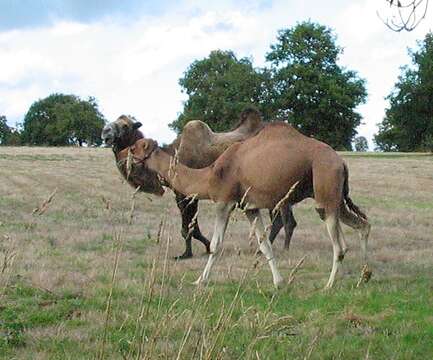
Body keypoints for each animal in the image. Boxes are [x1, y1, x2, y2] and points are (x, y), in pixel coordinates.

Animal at [101, 109, 296, 258]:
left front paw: (194, 252)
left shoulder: (187, 193)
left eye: (125, 125)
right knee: (285, 219)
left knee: (282, 220)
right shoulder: (183, 193)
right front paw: (199, 249)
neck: (171, 155)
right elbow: (190, 227)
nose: (105, 131)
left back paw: (268, 249)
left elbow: (189, 228)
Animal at [123, 122, 370, 288]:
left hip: (325, 185)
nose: (124, 154)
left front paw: (200, 280)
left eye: (135, 147)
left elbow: (216, 245)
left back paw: (329, 285)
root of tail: (341, 161)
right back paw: (365, 275)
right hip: (334, 196)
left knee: (340, 245)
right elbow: (264, 244)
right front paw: (279, 282)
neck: (210, 176)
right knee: (362, 224)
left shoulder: (224, 201)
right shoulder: (250, 207)